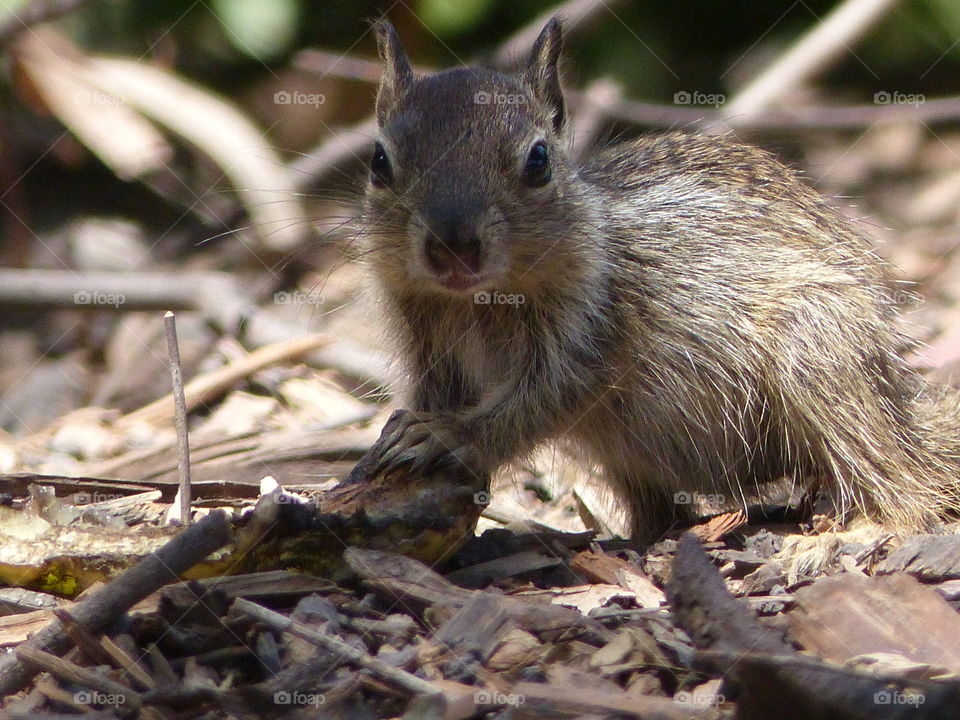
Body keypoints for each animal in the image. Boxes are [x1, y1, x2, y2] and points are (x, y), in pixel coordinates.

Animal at [356, 16, 960, 544]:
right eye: (379, 162)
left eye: (538, 161)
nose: (453, 248)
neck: (474, 302)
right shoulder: (426, 346)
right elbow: (432, 393)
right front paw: (399, 432)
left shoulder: (591, 331)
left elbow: (540, 399)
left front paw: (448, 434)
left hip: (818, 352)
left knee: (900, 479)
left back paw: (849, 534)